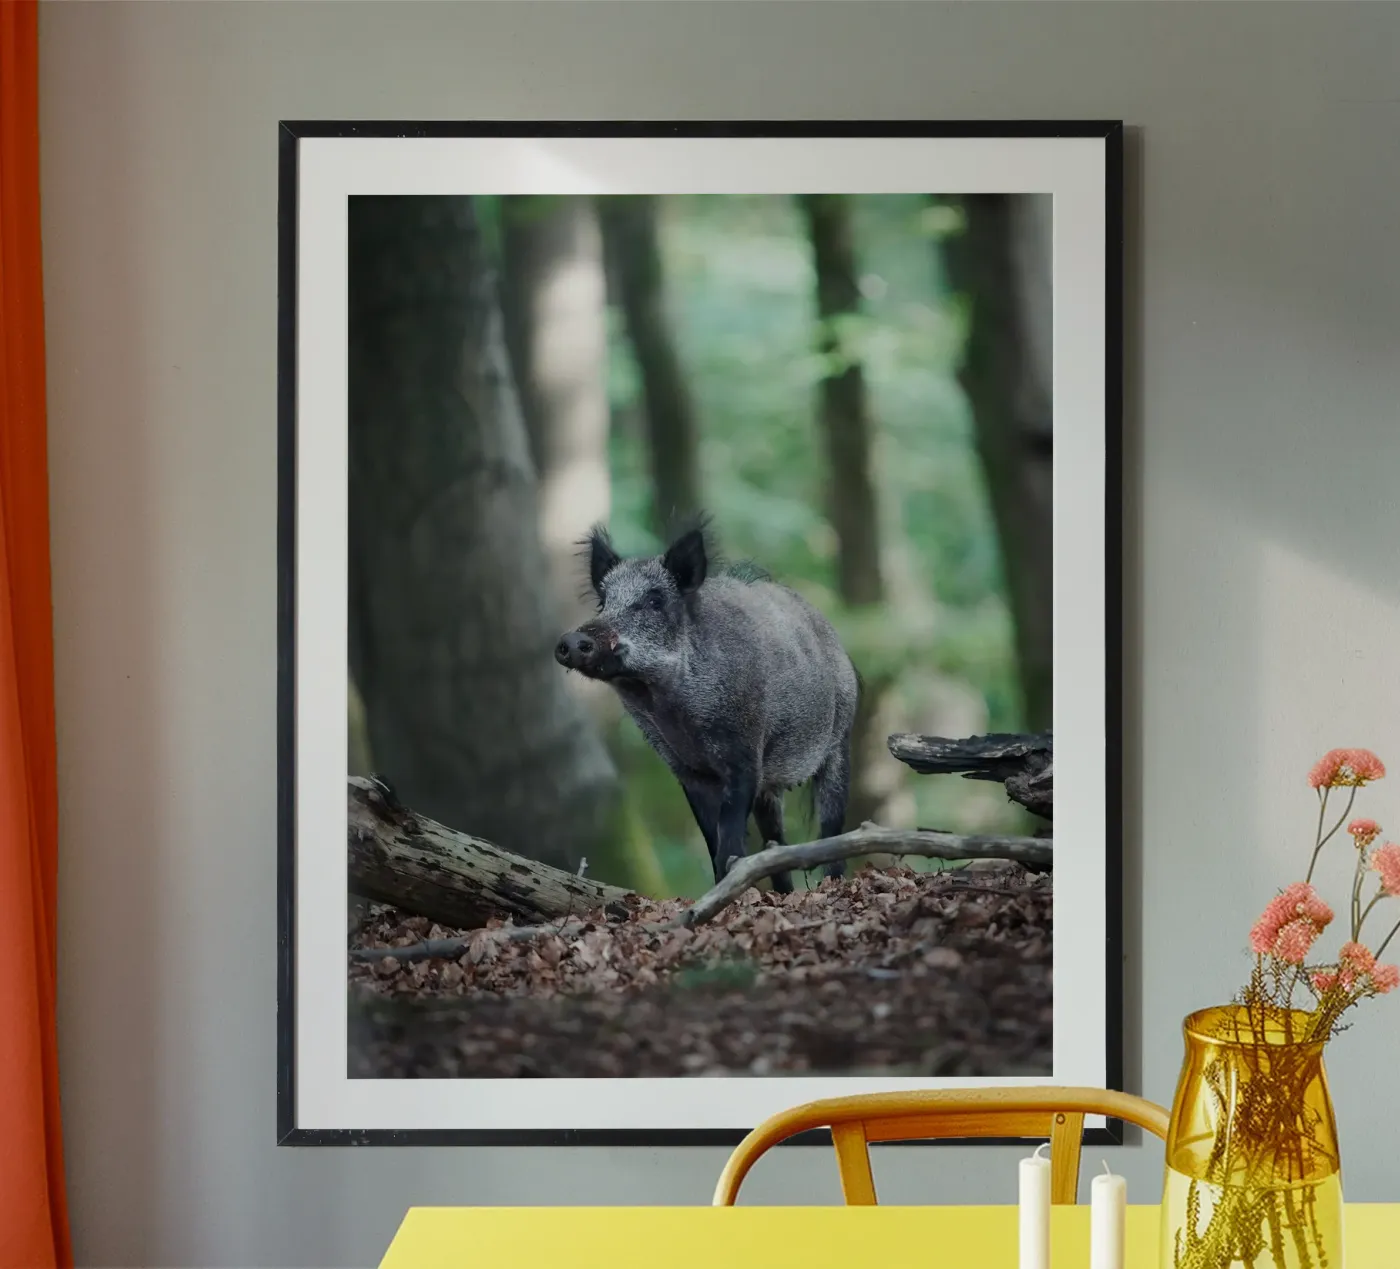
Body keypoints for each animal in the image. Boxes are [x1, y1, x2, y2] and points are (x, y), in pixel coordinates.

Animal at [554, 520, 859, 892]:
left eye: (655, 600)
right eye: (603, 602)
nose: (572, 640)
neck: (672, 708)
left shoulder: (745, 753)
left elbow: (729, 838)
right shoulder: (687, 770)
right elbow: (712, 840)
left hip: (840, 740)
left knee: (832, 825)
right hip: (771, 787)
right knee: (776, 841)